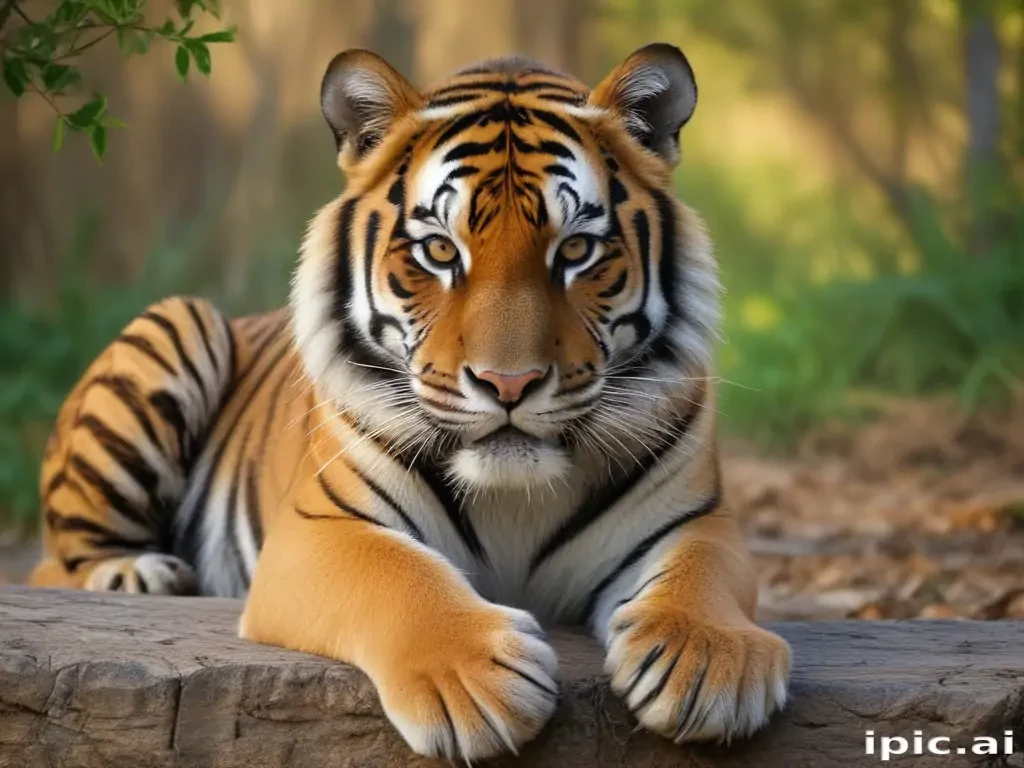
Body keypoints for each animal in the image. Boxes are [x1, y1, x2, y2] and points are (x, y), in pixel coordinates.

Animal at [29, 44, 792, 760]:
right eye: (439, 252)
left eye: (576, 250)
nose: (508, 384)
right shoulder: (319, 528)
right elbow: (398, 576)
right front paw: (474, 681)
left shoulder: (699, 520)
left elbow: (700, 577)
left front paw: (707, 663)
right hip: (180, 322)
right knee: (55, 562)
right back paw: (140, 573)